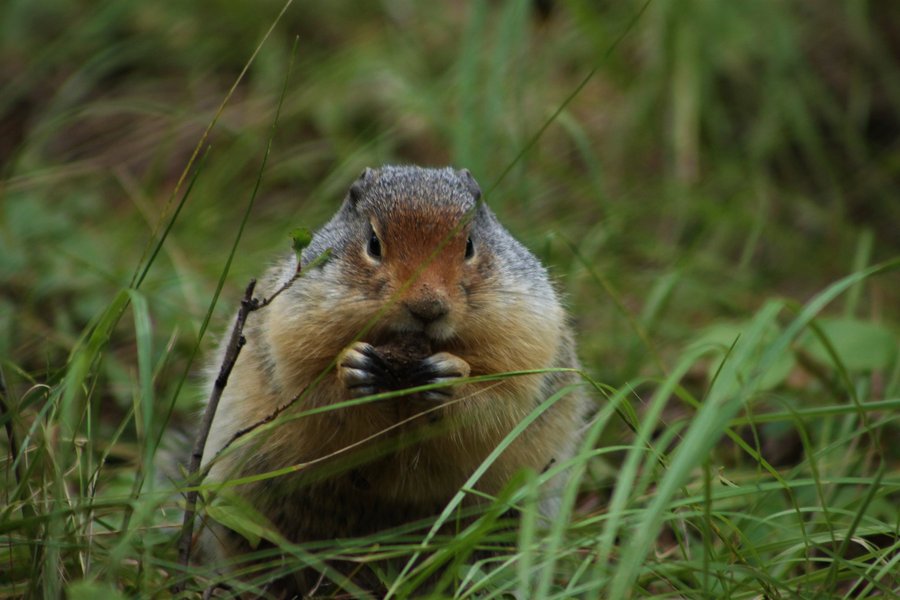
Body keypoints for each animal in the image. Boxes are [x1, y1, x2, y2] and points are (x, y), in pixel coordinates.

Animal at [199, 165, 590, 591]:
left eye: (469, 245)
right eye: (373, 243)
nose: (427, 307)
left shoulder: (529, 333)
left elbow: (500, 398)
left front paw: (449, 377)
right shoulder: (290, 328)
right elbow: (310, 392)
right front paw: (353, 369)